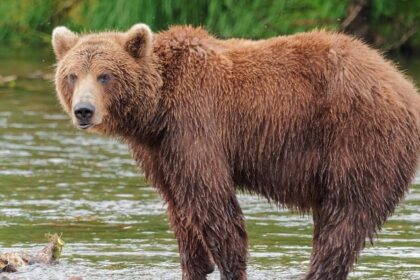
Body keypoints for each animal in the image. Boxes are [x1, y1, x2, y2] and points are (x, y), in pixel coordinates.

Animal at [50, 24, 418, 280]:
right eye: (72, 75)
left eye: (105, 75)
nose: (84, 111)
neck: (156, 110)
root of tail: (404, 84)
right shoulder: (160, 150)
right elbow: (179, 208)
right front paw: (195, 264)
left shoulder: (196, 124)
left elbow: (212, 202)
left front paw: (230, 264)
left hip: (358, 139)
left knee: (344, 218)